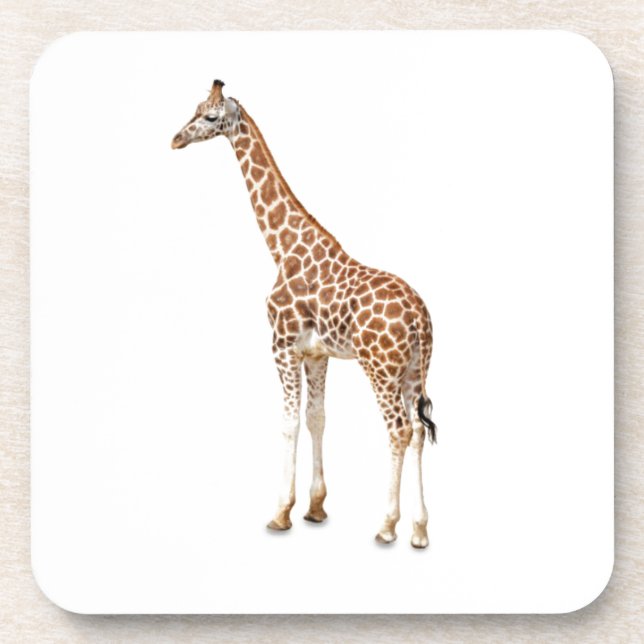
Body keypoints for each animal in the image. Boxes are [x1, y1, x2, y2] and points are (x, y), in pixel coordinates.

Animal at [172, 80, 436, 548]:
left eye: (209, 116)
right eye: (196, 108)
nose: (175, 139)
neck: (283, 248)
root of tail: (420, 318)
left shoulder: (282, 345)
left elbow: (289, 422)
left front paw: (280, 512)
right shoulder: (316, 353)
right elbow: (317, 418)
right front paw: (315, 508)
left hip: (380, 369)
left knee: (400, 430)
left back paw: (387, 526)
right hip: (413, 370)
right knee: (420, 431)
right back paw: (420, 531)